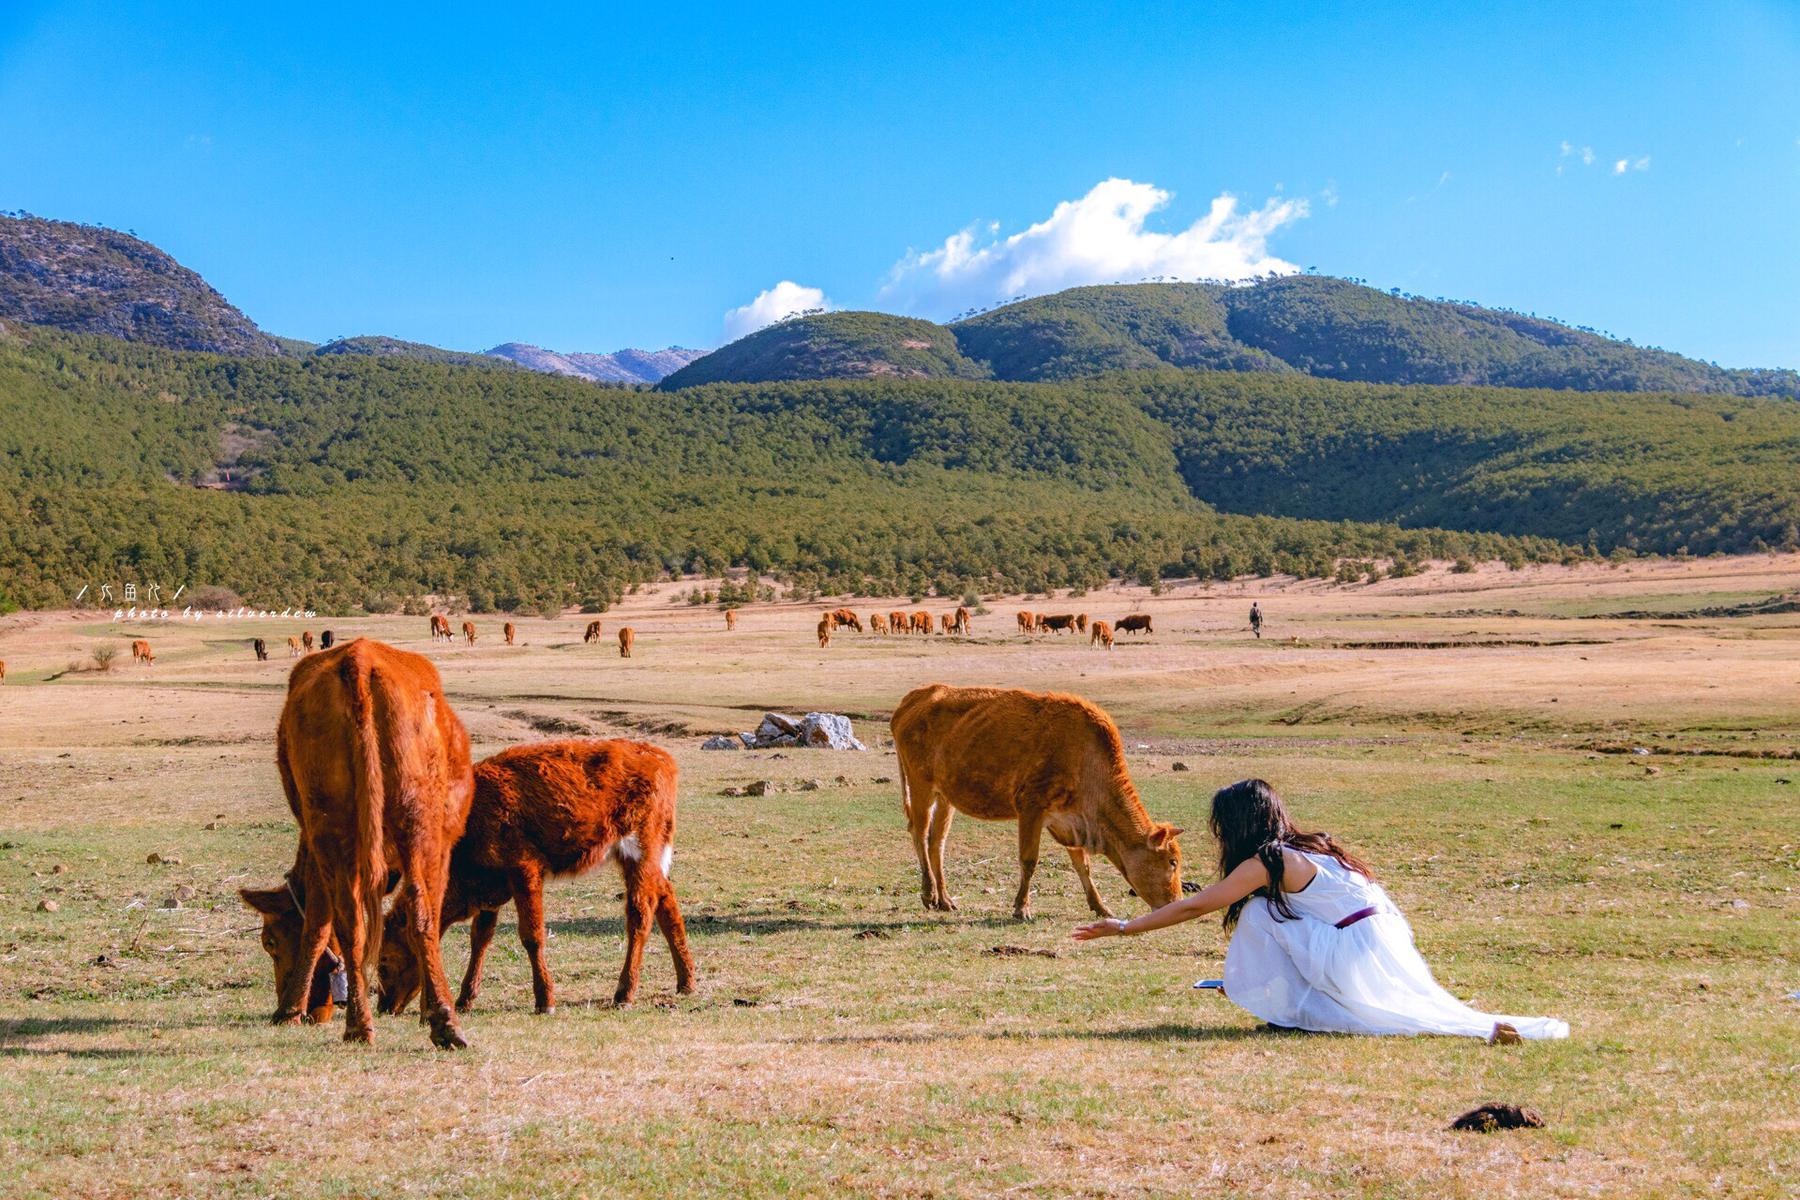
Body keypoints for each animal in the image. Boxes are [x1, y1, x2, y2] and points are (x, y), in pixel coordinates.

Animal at [241, 644, 478, 1043]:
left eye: (269, 941)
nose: (314, 1012)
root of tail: (359, 659)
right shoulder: (443, 844)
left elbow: (318, 924)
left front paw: (289, 1008)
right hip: (415, 825)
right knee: (419, 912)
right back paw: (441, 1021)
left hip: (333, 826)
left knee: (351, 922)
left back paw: (360, 1024)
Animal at [376, 741, 691, 1014]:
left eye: (383, 962)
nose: (384, 1007)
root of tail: (660, 756)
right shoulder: (491, 888)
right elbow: (480, 939)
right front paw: (465, 998)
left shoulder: (524, 871)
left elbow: (532, 935)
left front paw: (544, 999)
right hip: (644, 859)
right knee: (666, 899)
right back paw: (686, 981)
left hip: (640, 853)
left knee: (639, 916)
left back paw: (625, 992)